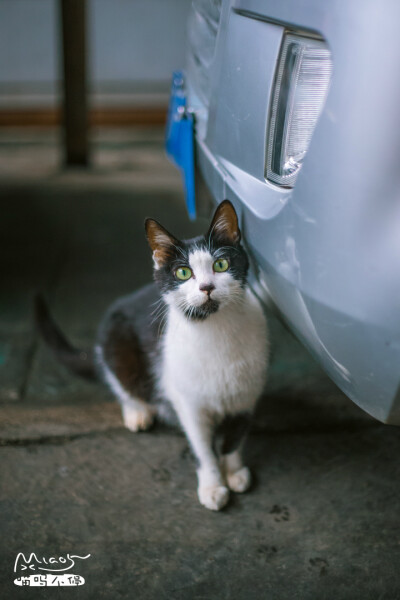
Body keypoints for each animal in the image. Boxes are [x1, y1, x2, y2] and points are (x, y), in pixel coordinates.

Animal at [36, 202, 268, 510]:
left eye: (221, 265)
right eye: (183, 273)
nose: (206, 287)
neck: (217, 329)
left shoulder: (246, 396)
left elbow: (234, 438)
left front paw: (234, 472)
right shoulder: (188, 403)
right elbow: (202, 448)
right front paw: (211, 485)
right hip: (117, 344)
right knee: (122, 381)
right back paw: (137, 412)